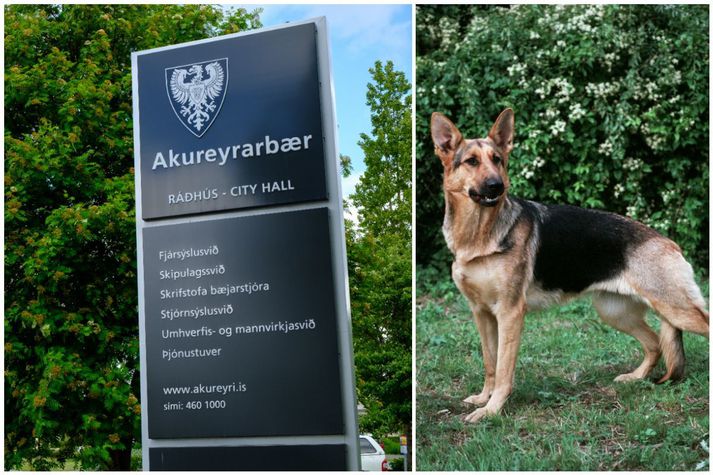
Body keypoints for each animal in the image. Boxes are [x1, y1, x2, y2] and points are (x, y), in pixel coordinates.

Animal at [428, 110, 708, 424]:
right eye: (472, 161)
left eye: (497, 159)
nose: (497, 186)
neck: (479, 237)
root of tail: (669, 242)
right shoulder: (482, 313)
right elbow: (490, 362)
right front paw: (483, 398)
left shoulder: (509, 314)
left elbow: (502, 370)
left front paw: (491, 409)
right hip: (615, 313)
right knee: (655, 344)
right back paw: (635, 377)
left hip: (677, 310)